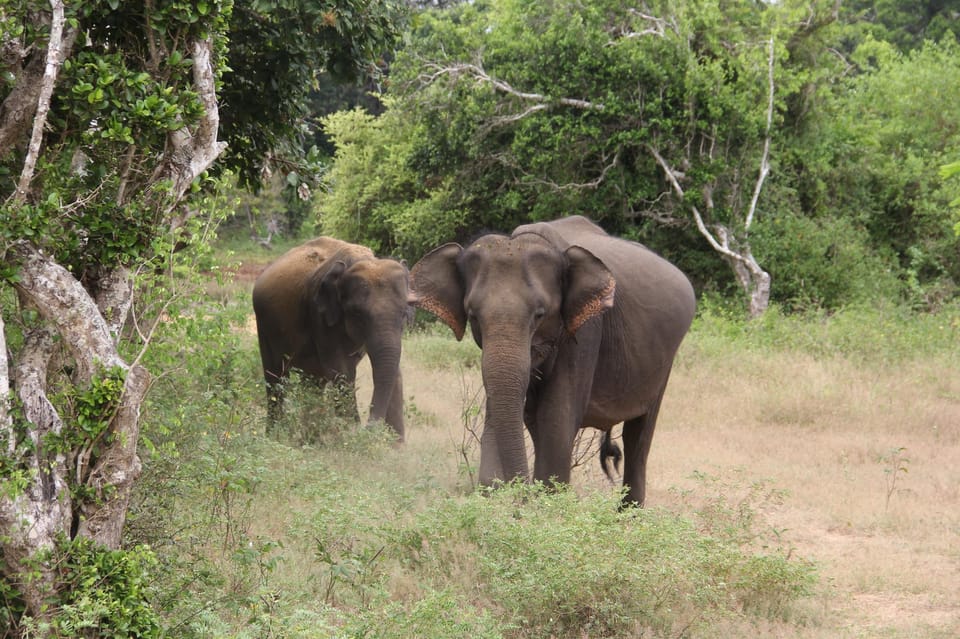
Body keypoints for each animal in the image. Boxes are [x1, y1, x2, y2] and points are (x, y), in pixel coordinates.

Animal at [251, 238, 412, 442]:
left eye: (404, 313)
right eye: (357, 313)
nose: (369, 428)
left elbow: (394, 368)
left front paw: (393, 445)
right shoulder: (320, 315)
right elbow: (340, 370)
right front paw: (352, 438)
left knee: (312, 382)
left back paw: (311, 439)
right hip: (264, 325)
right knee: (275, 377)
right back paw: (275, 437)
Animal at [408, 218, 692, 508]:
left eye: (540, 314)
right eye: (473, 315)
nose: (520, 495)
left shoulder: (586, 331)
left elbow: (557, 417)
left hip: (664, 362)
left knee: (639, 434)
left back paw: (629, 513)